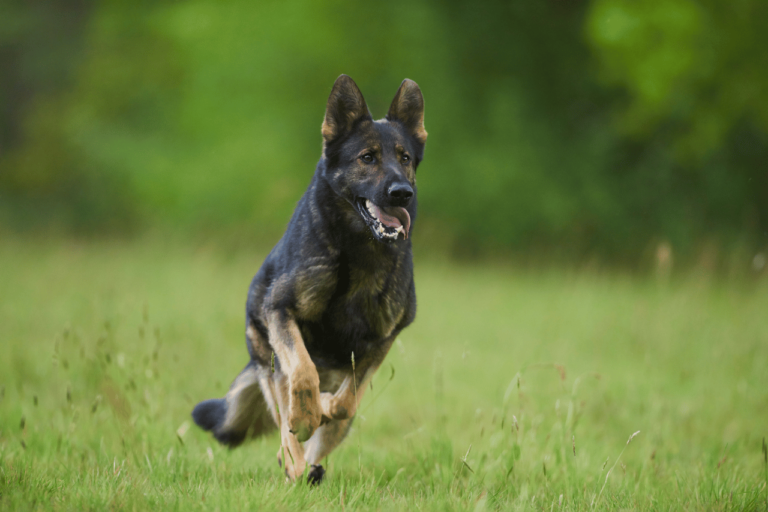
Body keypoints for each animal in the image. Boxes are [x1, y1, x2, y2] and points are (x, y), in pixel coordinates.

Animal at [191, 75, 426, 484]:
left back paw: (310, 461)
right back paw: (296, 455)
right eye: (367, 158)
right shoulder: (281, 311)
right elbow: (302, 372)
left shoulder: (383, 339)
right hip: (268, 361)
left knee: (332, 427)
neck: (356, 250)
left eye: (405, 158)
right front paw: (305, 416)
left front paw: (326, 408)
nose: (401, 193)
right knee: (286, 412)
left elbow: (346, 403)